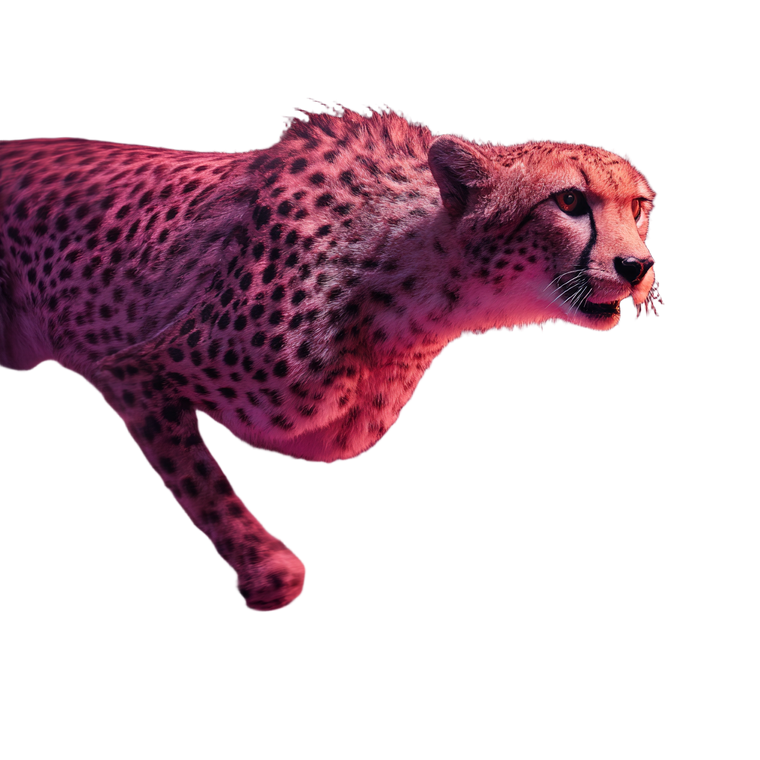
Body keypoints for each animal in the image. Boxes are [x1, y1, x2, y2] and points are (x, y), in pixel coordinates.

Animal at [0, 96, 664, 613]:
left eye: (637, 208)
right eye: (570, 201)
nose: (637, 267)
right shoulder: (130, 367)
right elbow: (203, 481)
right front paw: (269, 573)